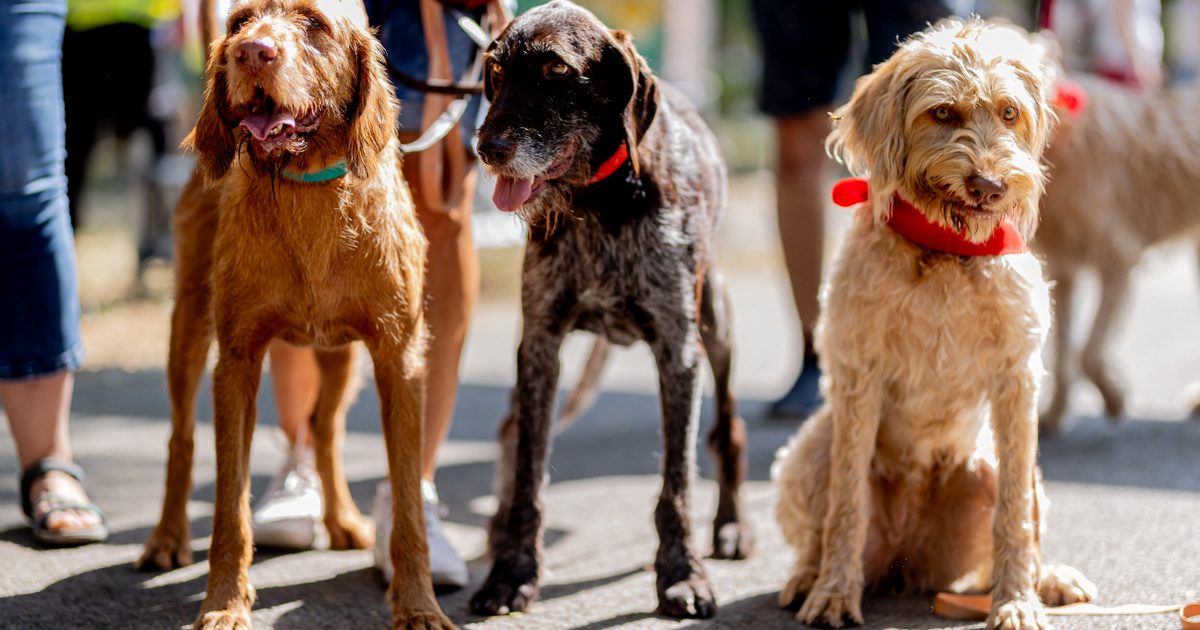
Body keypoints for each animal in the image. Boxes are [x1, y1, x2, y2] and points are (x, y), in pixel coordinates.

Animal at [135, 1, 453, 628]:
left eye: (314, 23)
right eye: (240, 21)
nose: (250, 52)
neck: (310, 191)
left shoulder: (399, 358)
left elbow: (408, 505)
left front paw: (417, 604)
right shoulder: (236, 361)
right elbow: (228, 507)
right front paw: (224, 602)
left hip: (341, 358)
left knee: (325, 430)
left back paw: (342, 519)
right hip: (189, 325)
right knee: (181, 438)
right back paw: (165, 537)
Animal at [468, 0, 748, 619]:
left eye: (555, 70)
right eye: (494, 71)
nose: (487, 148)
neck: (599, 201)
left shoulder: (679, 350)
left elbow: (677, 484)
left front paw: (682, 575)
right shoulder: (540, 346)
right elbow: (528, 476)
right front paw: (512, 571)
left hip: (717, 325)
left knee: (730, 430)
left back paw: (733, 525)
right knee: (508, 430)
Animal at [777, 19, 1099, 628]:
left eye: (1008, 112)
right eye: (943, 113)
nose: (990, 186)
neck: (948, 250)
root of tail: (910, 559)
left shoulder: (1017, 378)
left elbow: (1016, 514)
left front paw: (1016, 600)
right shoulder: (858, 375)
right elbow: (846, 505)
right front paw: (833, 592)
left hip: (990, 465)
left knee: (1022, 512)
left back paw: (1045, 578)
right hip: (810, 450)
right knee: (821, 526)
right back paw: (808, 576)